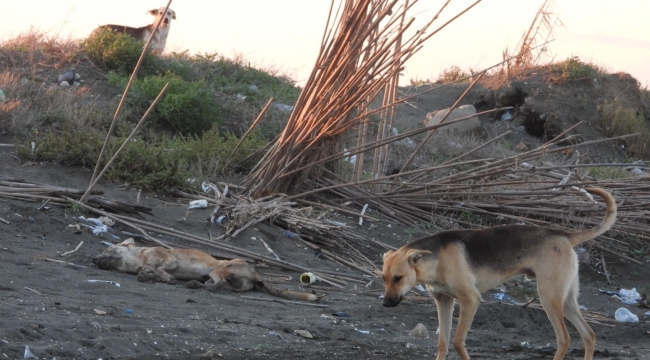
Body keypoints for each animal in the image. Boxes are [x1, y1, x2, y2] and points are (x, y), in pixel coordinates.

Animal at [94, 239, 318, 300]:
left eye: (107, 249)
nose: (93, 259)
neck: (138, 257)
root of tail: (256, 273)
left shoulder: (169, 260)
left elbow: (158, 269)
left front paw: (159, 276)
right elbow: (149, 272)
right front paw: (149, 276)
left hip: (218, 270)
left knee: (217, 285)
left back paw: (199, 286)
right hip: (224, 280)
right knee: (219, 286)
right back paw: (195, 285)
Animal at [382, 187, 616, 358]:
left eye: (398, 278)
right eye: (383, 278)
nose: (384, 304)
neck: (436, 259)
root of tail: (565, 235)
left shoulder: (470, 300)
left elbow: (457, 342)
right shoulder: (444, 302)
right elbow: (443, 344)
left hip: (549, 298)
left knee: (564, 339)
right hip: (566, 300)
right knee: (588, 335)